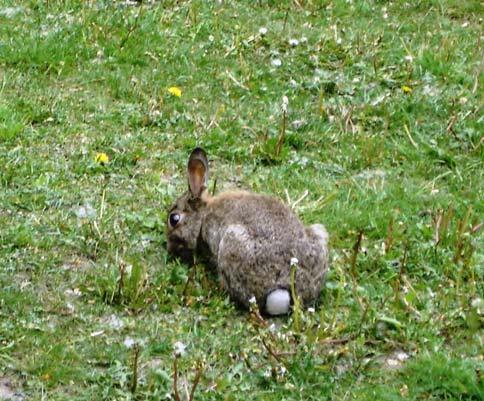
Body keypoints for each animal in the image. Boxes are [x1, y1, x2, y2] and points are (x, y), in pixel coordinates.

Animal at [166, 147, 328, 316]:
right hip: (319, 233)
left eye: (174, 219)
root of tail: (291, 289)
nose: (169, 248)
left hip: (231, 245)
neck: (203, 215)